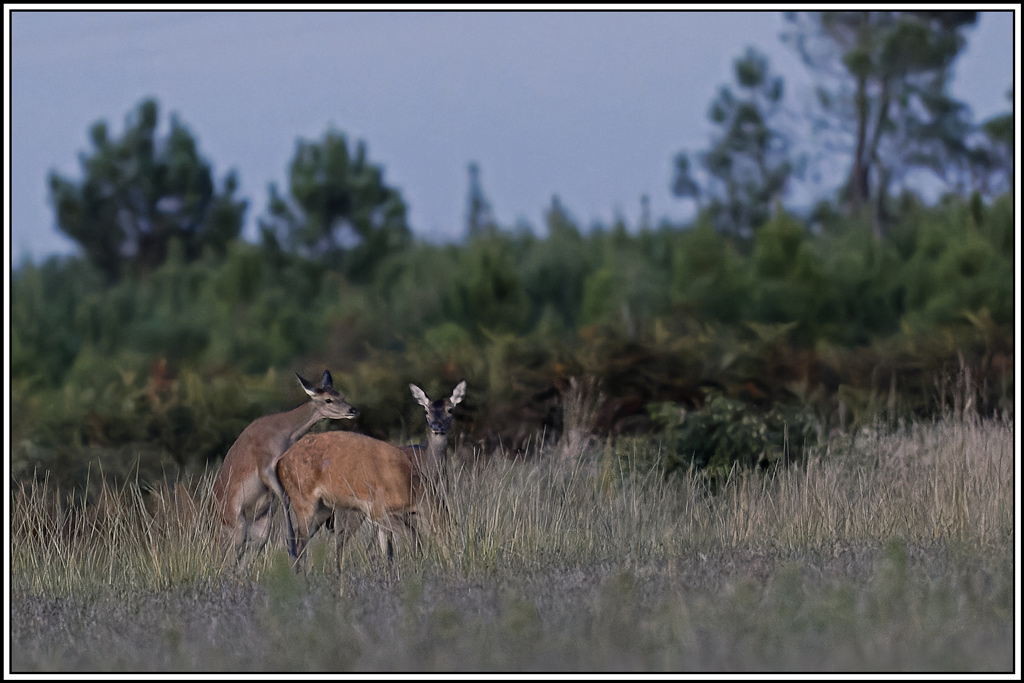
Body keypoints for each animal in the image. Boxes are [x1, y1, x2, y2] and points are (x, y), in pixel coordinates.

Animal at [213, 369, 359, 568]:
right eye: (328, 399)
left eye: (341, 395)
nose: (353, 410)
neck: (282, 432)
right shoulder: (265, 467)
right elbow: (285, 498)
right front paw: (291, 549)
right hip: (237, 528)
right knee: (227, 559)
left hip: (259, 531)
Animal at [277, 381, 466, 580]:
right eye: (427, 411)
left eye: (450, 410)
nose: (437, 426)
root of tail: (280, 462)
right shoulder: (376, 509)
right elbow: (412, 539)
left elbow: (392, 550)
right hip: (304, 500)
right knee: (305, 542)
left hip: (325, 508)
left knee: (305, 541)